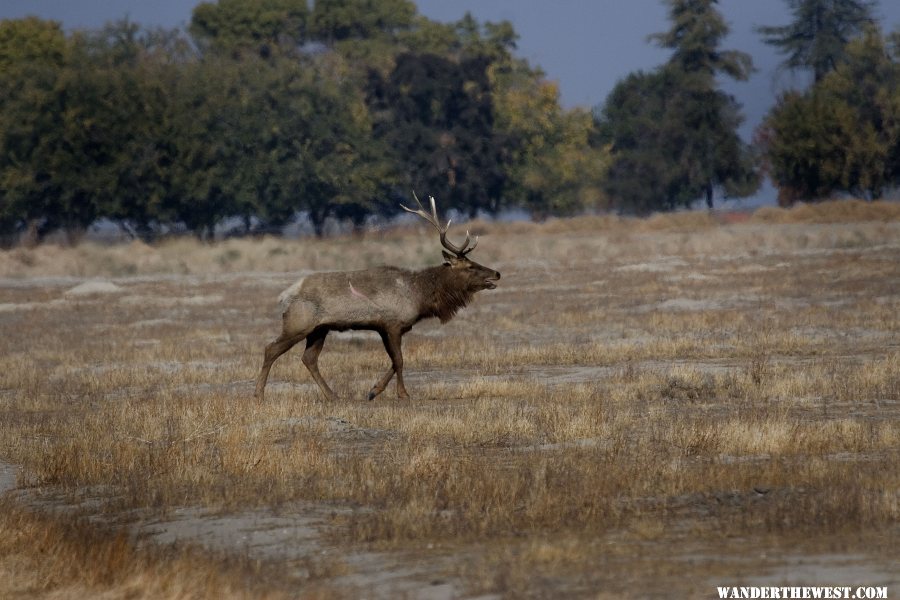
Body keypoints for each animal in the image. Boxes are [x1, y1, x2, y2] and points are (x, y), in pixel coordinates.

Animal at [255, 196, 500, 404]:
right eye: (470, 266)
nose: (496, 273)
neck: (419, 297)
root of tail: (285, 295)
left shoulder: (386, 327)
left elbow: (393, 360)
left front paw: (373, 391)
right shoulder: (392, 324)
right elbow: (399, 359)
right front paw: (403, 394)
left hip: (319, 329)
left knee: (309, 358)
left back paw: (333, 395)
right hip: (298, 323)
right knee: (271, 349)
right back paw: (259, 394)